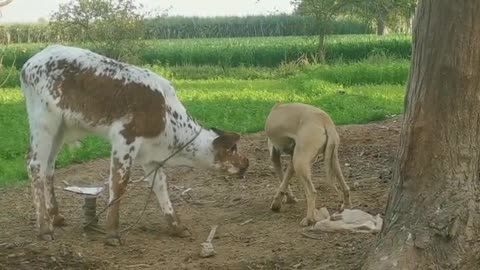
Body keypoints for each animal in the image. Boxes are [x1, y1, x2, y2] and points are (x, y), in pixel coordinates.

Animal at [20, 45, 249, 246]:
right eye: (233, 149)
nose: (246, 162)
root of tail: (30, 63)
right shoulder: (125, 138)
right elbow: (119, 183)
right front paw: (112, 233)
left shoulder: (150, 157)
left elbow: (160, 186)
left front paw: (176, 226)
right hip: (44, 122)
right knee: (36, 166)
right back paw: (44, 228)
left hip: (60, 129)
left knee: (49, 166)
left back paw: (56, 216)